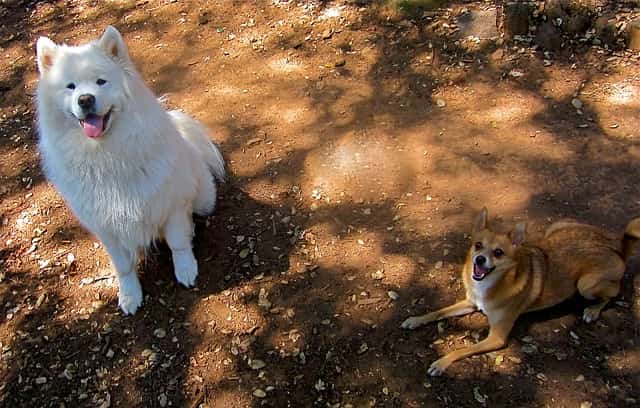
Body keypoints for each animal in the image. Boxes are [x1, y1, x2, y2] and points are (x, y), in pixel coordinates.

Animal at [35, 27, 225, 314]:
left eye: (101, 82)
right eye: (71, 87)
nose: (85, 99)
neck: (107, 155)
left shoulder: (171, 204)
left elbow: (178, 243)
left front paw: (185, 270)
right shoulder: (106, 227)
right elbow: (123, 266)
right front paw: (129, 296)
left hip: (203, 200)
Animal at [402, 209, 636, 378]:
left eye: (498, 252)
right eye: (478, 245)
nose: (479, 259)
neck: (491, 284)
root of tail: (617, 248)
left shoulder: (496, 338)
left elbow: (462, 350)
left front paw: (441, 363)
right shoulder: (470, 303)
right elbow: (438, 312)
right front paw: (415, 320)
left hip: (585, 285)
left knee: (613, 293)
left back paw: (592, 311)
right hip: (557, 227)